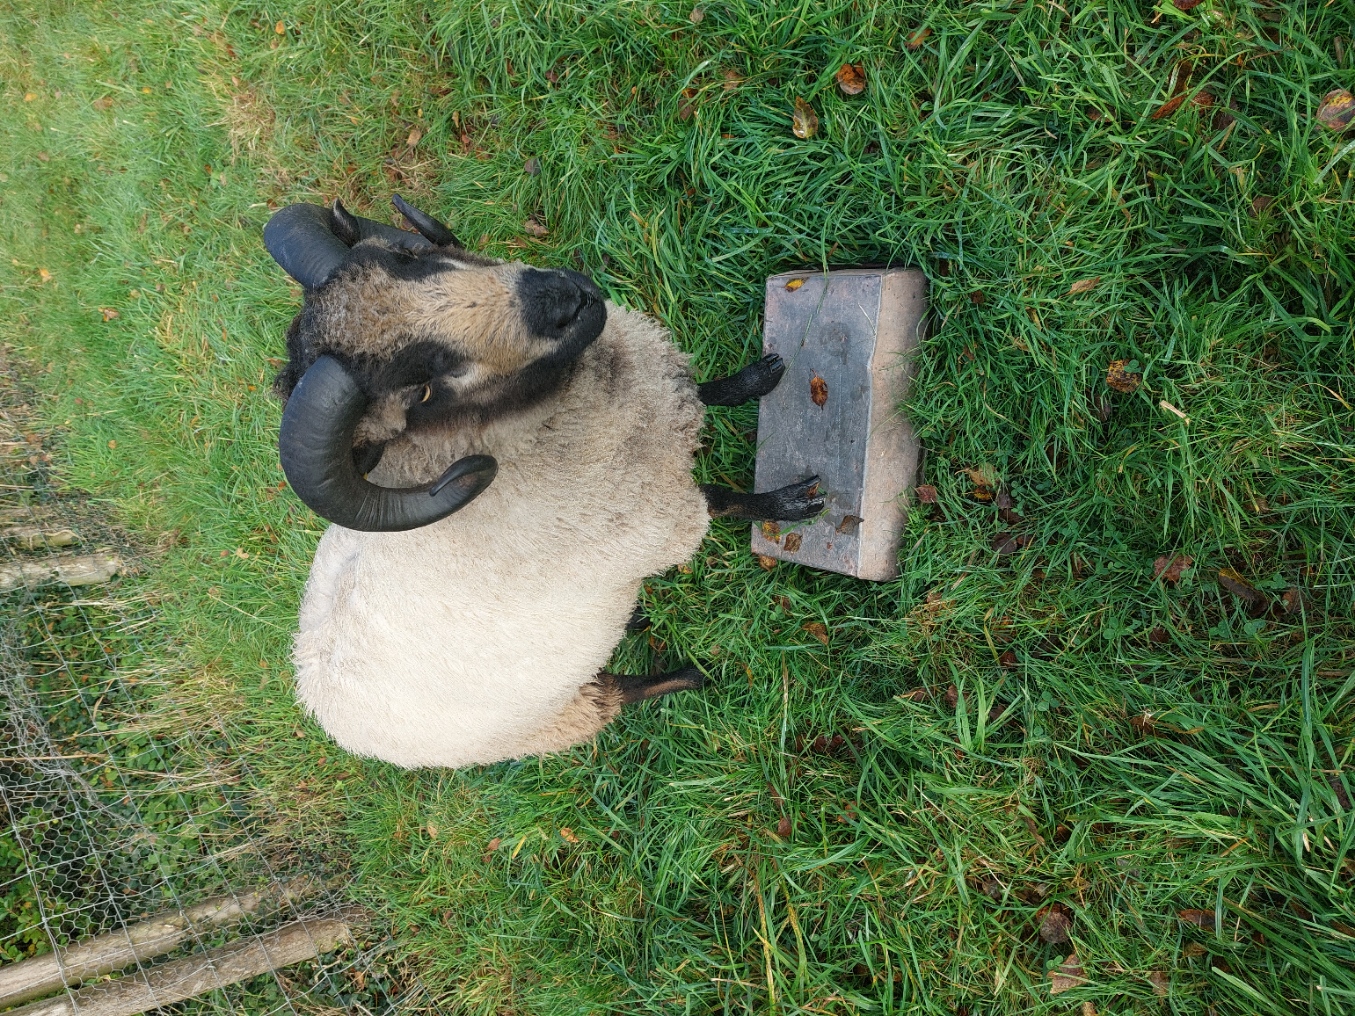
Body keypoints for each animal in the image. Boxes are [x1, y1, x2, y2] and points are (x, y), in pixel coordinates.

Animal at [263, 195, 824, 768]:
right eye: (422, 391)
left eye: (409, 258)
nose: (560, 299)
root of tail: (313, 694)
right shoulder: (654, 517)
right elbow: (726, 500)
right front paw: (792, 503)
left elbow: (703, 391)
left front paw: (757, 378)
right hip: (554, 716)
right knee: (618, 693)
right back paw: (689, 674)